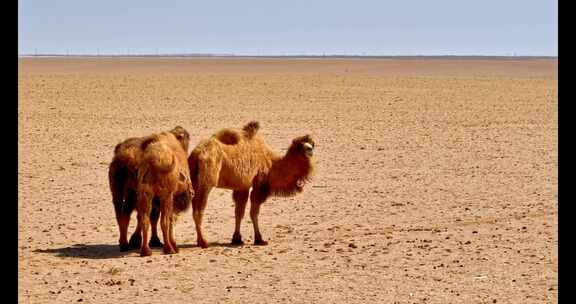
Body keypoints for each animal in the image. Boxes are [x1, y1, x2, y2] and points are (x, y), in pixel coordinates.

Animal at [188, 121, 316, 247]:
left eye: (312, 144)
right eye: (302, 146)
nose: (310, 150)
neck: (271, 162)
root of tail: (196, 154)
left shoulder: (242, 186)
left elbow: (239, 212)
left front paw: (237, 239)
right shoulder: (259, 184)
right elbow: (254, 212)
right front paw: (260, 239)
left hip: (194, 181)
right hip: (206, 182)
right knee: (198, 209)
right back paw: (203, 242)